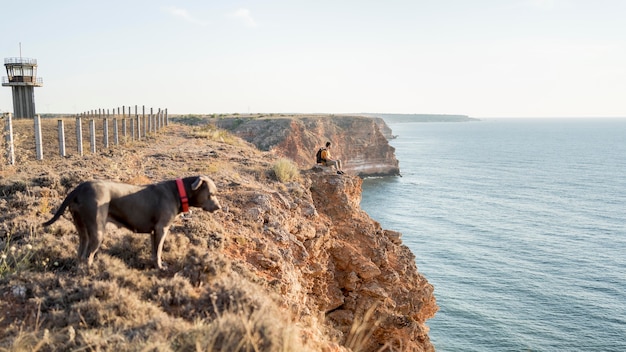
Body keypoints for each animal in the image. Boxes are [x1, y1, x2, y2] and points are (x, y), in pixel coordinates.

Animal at [42, 176, 221, 270]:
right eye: (211, 194)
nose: (219, 207)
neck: (179, 192)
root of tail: (79, 188)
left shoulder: (154, 231)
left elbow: (154, 251)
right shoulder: (162, 229)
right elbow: (159, 251)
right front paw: (160, 267)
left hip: (81, 226)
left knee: (81, 251)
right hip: (97, 230)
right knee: (88, 256)